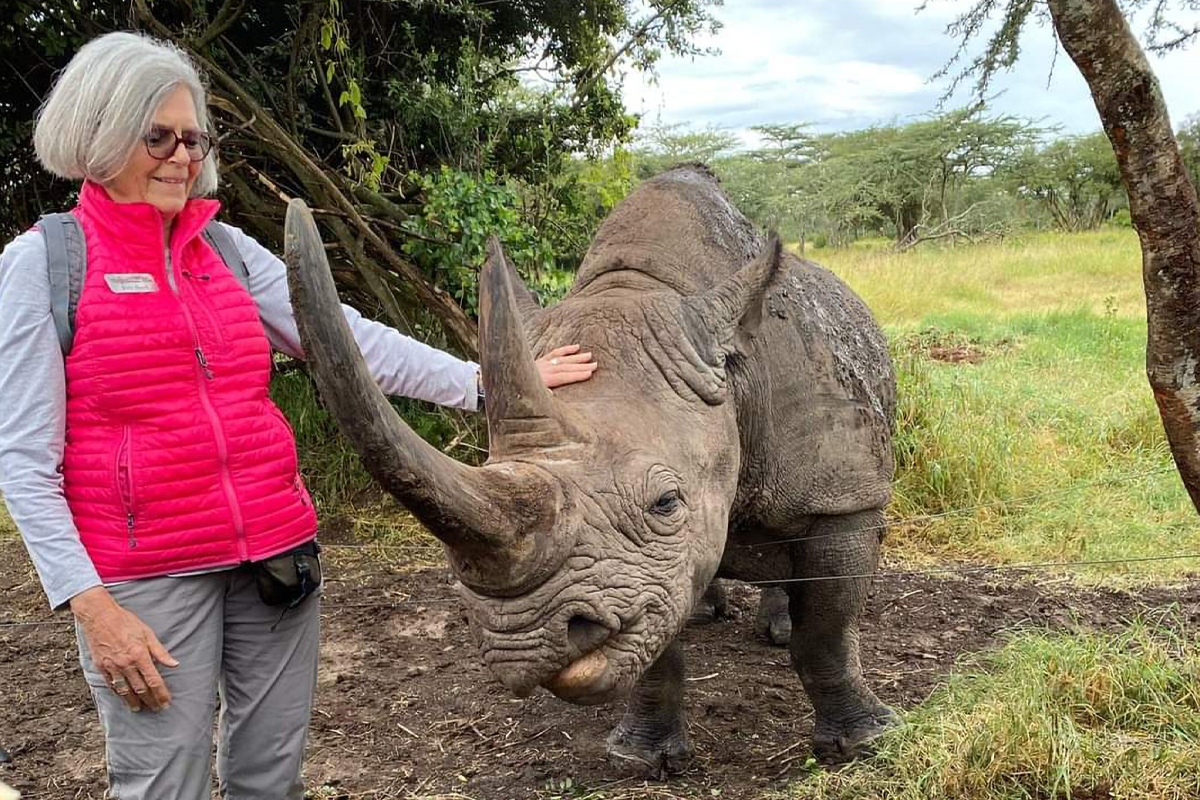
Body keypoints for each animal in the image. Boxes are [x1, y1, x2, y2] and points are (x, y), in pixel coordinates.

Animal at [284, 163, 898, 770]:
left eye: (666, 503)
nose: (519, 643)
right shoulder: (643, 575)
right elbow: (654, 638)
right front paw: (640, 758)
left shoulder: (845, 494)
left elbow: (826, 631)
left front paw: (862, 744)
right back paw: (707, 614)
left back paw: (777, 629)